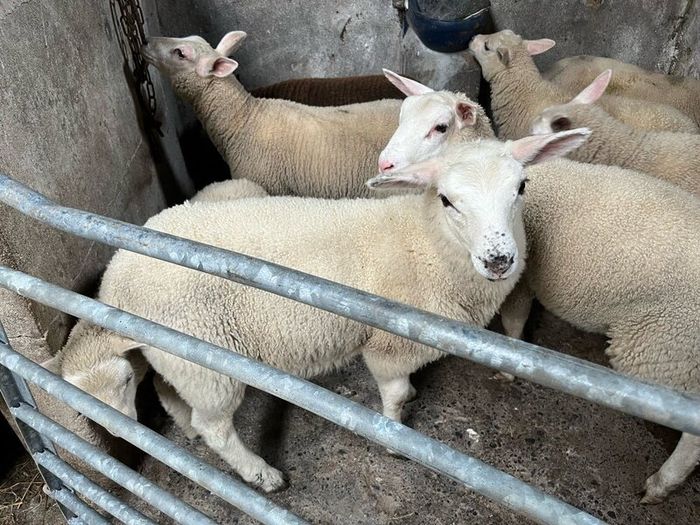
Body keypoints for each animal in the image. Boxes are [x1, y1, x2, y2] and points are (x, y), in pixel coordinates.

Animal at [47, 130, 590, 492]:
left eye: (521, 188)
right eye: (447, 199)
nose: (499, 260)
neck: (426, 243)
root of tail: (118, 274)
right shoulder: (390, 344)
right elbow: (394, 393)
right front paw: (395, 437)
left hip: (176, 354)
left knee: (169, 394)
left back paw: (186, 434)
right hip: (209, 362)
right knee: (217, 427)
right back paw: (260, 474)